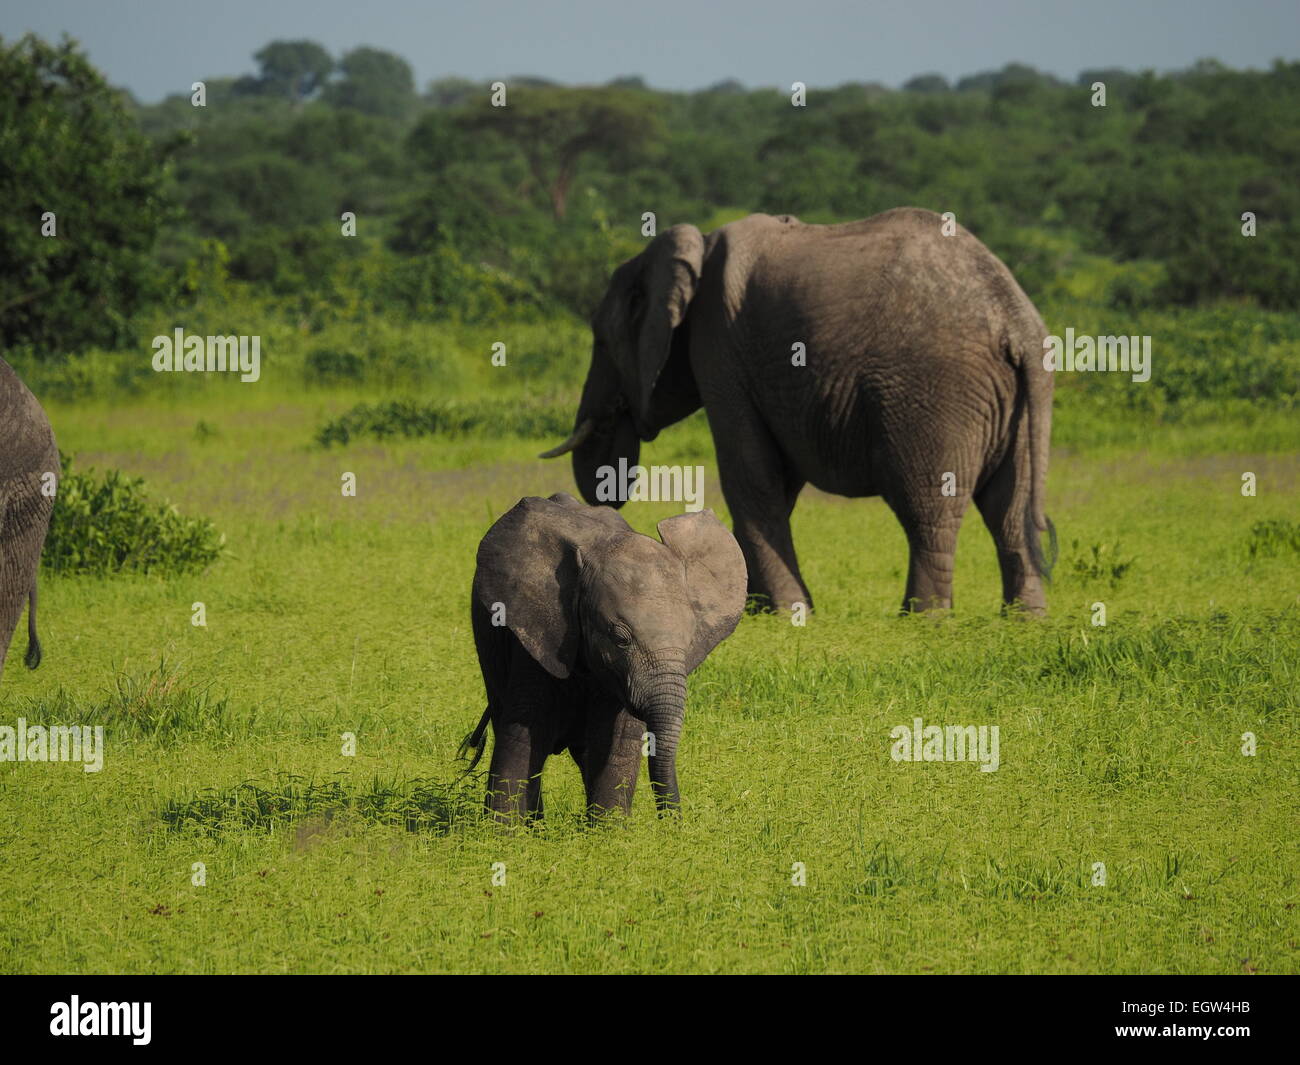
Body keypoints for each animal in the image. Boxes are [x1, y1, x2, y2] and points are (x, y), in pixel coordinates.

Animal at [462, 496, 748, 821]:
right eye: (620, 639)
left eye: (689, 641)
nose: (675, 823)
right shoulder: (537, 633)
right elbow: (523, 734)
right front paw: (501, 831)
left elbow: (617, 743)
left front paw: (607, 831)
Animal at [538, 206, 1055, 616]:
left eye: (600, 341)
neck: (695, 248)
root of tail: (1015, 319)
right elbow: (777, 480)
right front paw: (756, 607)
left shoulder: (719, 346)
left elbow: (750, 474)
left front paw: (786, 613)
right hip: (1017, 403)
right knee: (1008, 508)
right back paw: (1024, 620)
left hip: (933, 393)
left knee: (928, 506)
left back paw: (923, 619)